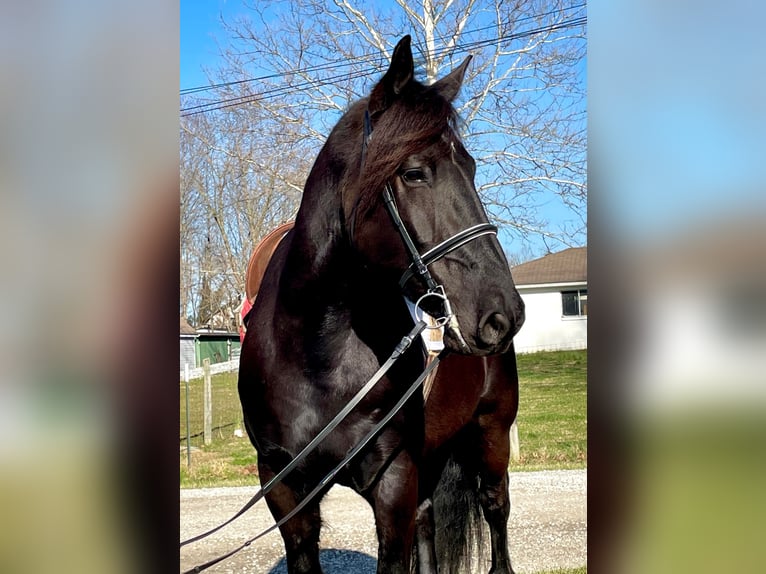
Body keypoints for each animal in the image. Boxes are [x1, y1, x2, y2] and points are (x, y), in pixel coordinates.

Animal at [240, 37, 528, 574]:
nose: (505, 314)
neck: (315, 354)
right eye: (414, 173)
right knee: (430, 520)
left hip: (491, 434)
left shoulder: (393, 483)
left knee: (495, 511)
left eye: (472, 167)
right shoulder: (284, 489)